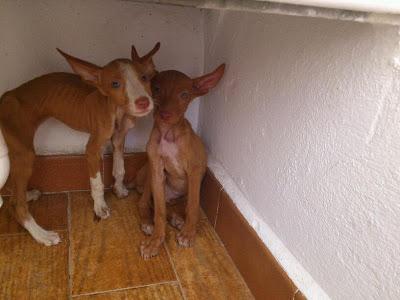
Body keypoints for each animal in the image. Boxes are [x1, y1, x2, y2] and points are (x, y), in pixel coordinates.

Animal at [0, 44, 159, 246]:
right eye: (115, 84)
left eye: (144, 78)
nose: (143, 102)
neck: (116, 108)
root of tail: (7, 94)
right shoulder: (92, 149)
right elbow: (97, 183)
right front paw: (100, 207)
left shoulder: (119, 139)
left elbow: (120, 168)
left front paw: (119, 188)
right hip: (24, 152)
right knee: (16, 204)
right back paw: (41, 234)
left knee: (15, 194)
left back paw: (27, 195)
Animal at [137, 63, 227, 258]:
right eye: (156, 89)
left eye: (184, 95)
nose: (165, 114)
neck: (168, 134)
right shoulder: (157, 171)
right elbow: (159, 213)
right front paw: (155, 241)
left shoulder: (194, 171)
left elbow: (192, 206)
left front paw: (188, 233)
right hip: (149, 176)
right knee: (147, 203)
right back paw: (148, 222)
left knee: (175, 205)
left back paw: (177, 219)